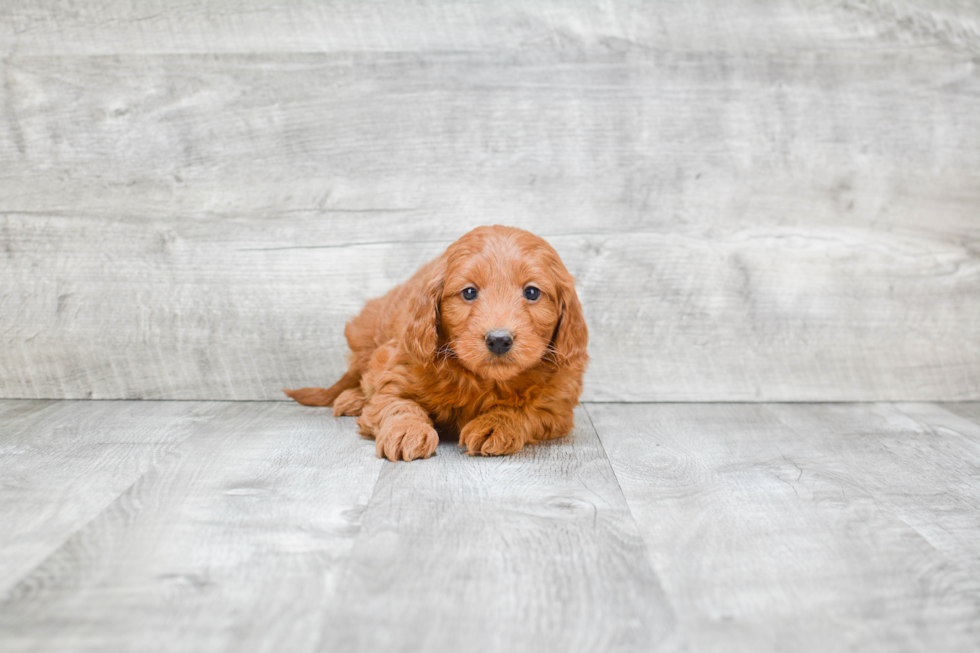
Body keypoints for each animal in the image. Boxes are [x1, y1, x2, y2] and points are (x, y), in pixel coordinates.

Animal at [284, 227, 588, 460]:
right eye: (469, 292)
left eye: (532, 292)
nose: (499, 339)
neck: (483, 380)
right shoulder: (396, 366)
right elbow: (397, 404)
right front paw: (407, 430)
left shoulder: (556, 404)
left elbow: (524, 410)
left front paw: (496, 424)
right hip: (367, 338)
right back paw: (353, 399)